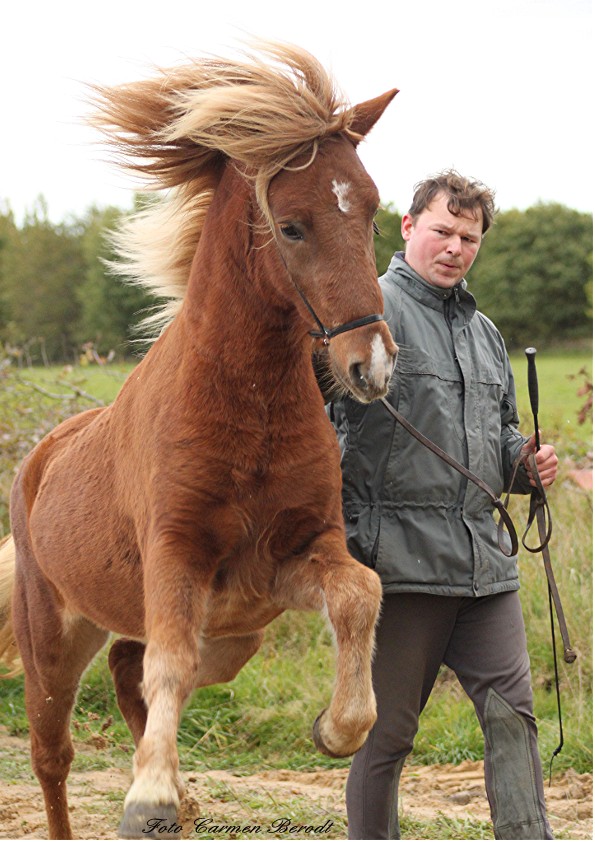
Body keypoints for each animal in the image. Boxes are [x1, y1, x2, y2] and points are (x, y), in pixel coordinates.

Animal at [1, 42, 400, 836]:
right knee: (53, 755)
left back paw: (178, 797)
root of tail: (40, 459)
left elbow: (359, 594)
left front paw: (333, 729)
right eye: (292, 226)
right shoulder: (175, 557)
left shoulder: (288, 561)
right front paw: (149, 794)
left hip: (230, 639)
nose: (369, 365)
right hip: (53, 639)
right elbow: (170, 664)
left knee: (127, 670)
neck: (248, 412)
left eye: (371, 212)